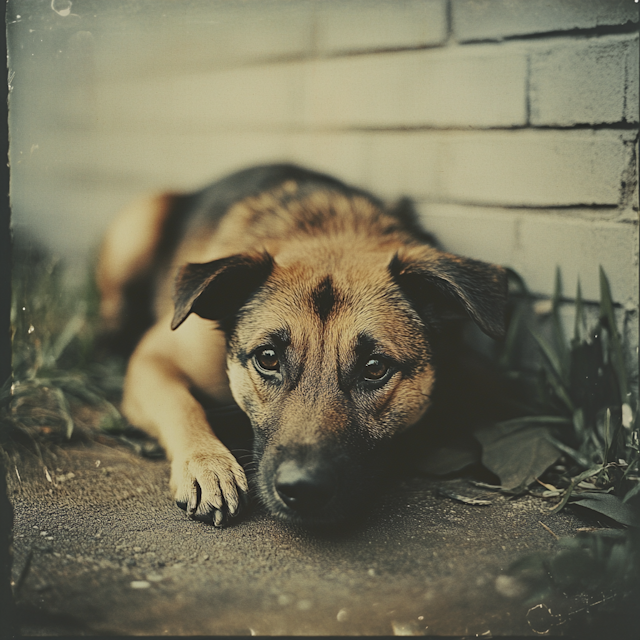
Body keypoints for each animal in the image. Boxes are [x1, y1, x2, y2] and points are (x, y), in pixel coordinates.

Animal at [97, 162, 508, 528]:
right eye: (267, 358)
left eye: (375, 368)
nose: (303, 489)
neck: (331, 235)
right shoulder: (153, 359)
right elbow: (182, 404)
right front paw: (207, 465)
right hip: (142, 219)